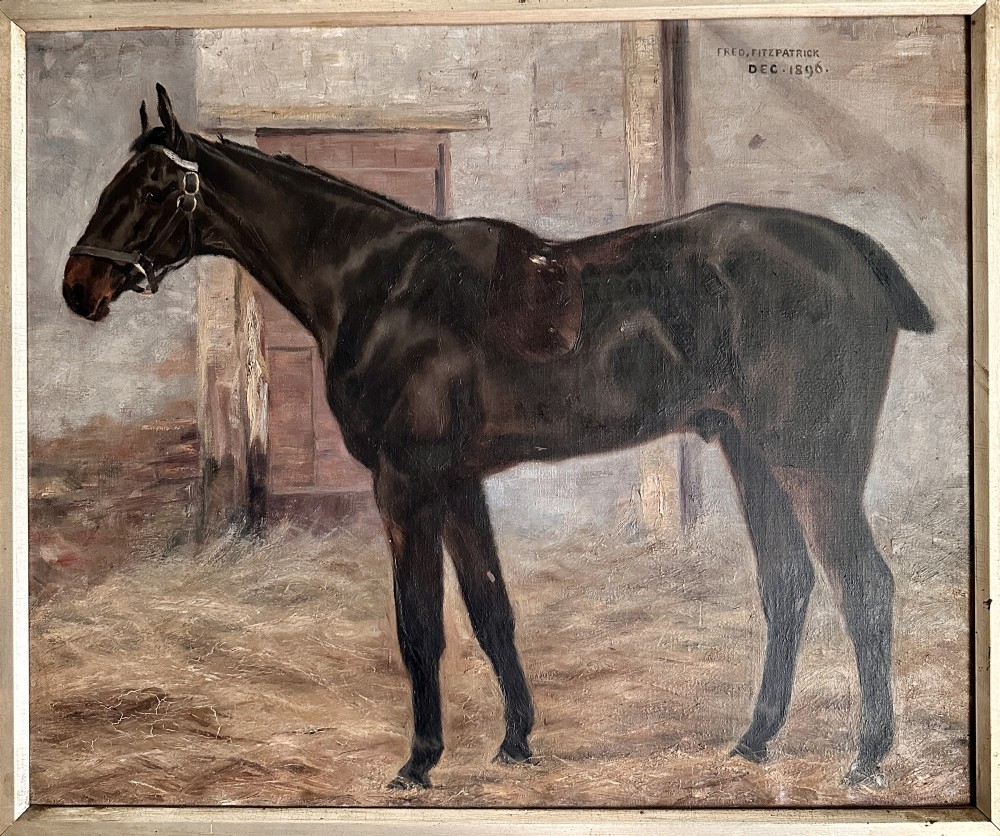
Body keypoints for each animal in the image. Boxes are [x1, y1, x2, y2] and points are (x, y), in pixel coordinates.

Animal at [62, 85, 934, 790]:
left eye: (150, 186)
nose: (78, 287)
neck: (381, 284)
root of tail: (857, 251)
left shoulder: (405, 481)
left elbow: (420, 624)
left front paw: (418, 761)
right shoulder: (457, 481)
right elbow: (489, 608)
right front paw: (515, 742)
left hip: (811, 461)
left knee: (864, 586)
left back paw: (866, 758)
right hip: (750, 452)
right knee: (788, 583)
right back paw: (755, 740)